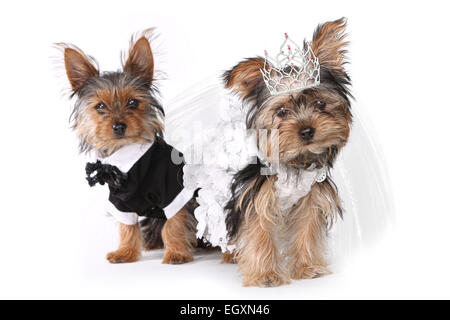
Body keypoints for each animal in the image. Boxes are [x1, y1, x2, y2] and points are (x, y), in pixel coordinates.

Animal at [57, 30, 197, 264]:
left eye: (133, 103)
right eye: (100, 106)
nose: (119, 125)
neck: (131, 163)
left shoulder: (173, 192)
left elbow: (174, 223)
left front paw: (176, 253)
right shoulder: (120, 202)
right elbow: (127, 228)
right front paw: (125, 252)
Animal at [223, 18, 354, 286]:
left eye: (320, 103)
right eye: (282, 111)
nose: (306, 130)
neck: (296, 164)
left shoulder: (312, 198)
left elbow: (307, 229)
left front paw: (308, 268)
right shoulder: (257, 195)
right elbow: (259, 231)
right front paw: (266, 275)